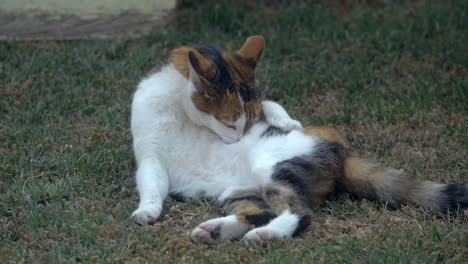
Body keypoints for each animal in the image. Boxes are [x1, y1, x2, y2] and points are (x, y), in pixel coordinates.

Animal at [131, 36, 468, 246]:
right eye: (229, 122)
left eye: (244, 123)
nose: (237, 137)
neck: (181, 111)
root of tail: (343, 154)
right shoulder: (150, 155)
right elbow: (150, 183)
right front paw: (148, 209)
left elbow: (273, 106)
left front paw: (284, 120)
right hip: (240, 190)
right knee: (264, 211)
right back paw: (217, 230)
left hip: (275, 168)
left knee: (300, 214)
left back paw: (264, 236)